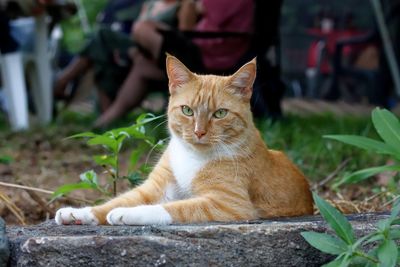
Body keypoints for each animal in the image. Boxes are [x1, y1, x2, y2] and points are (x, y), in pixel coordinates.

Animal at [54, 55, 314, 227]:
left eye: (220, 113)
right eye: (187, 110)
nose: (199, 132)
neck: (193, 156)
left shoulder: (228, 203)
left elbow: (175, 208)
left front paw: (126, 214)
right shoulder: (155, 187)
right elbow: (119, 200)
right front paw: (78, 213)